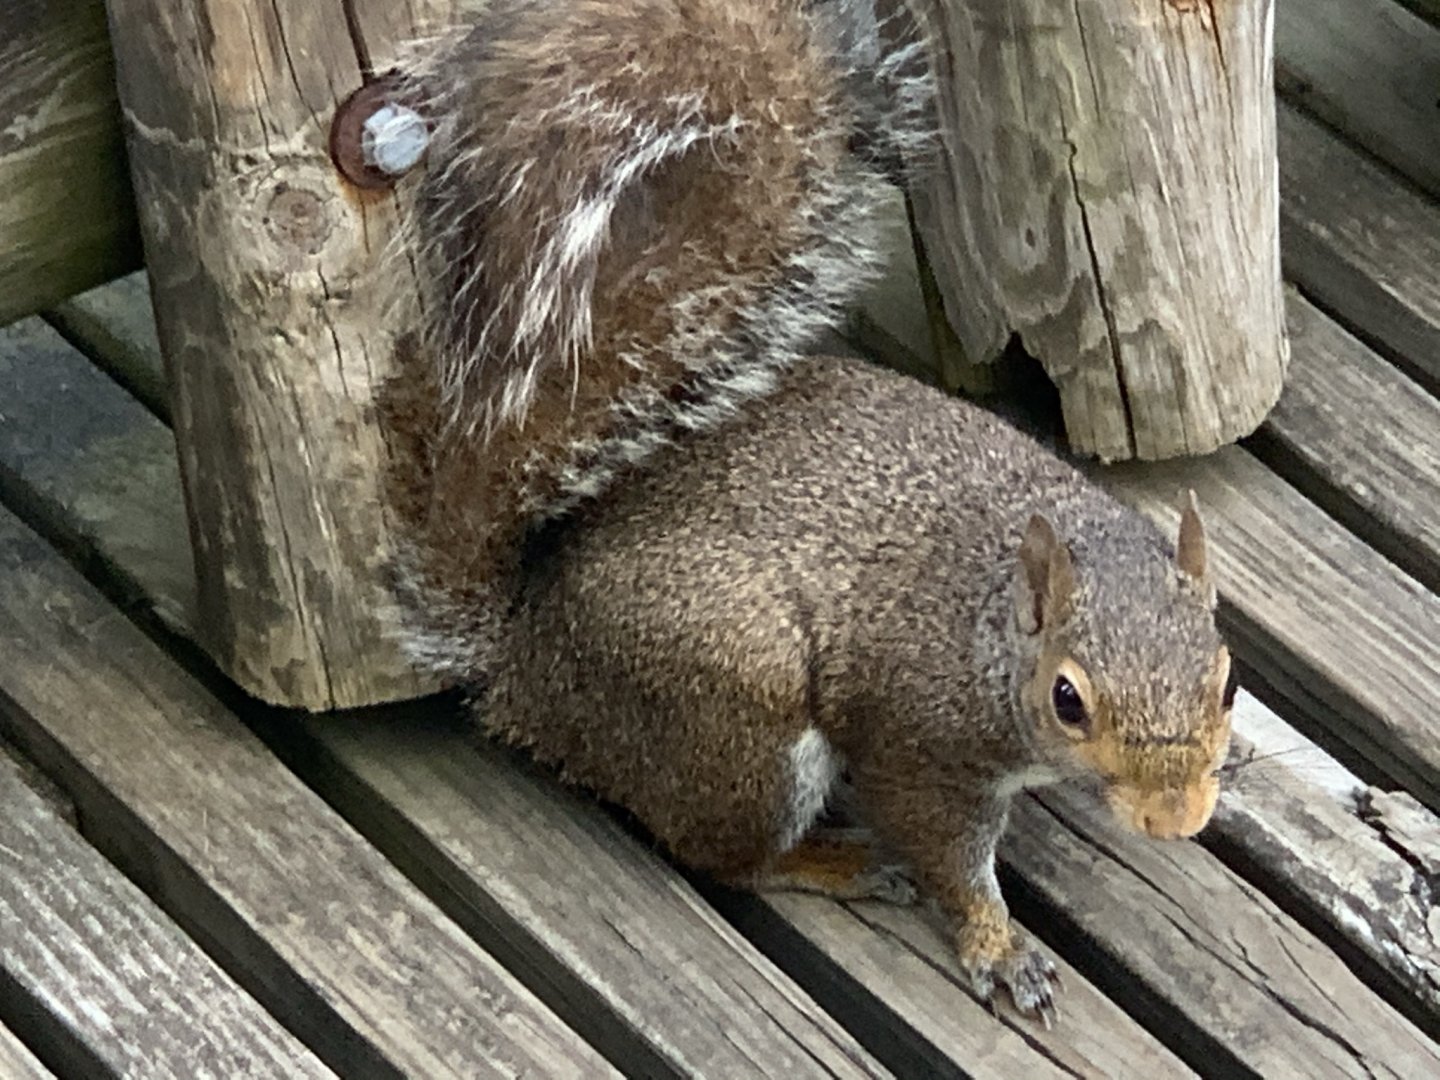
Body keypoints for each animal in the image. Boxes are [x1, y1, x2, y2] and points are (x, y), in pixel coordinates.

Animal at [376, 0, 1236, 1021]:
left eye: (1227, 680)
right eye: (1069, 699)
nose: (1175, 819)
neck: (993, 617)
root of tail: (523, 662)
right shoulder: (917, 741)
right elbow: (944, 849)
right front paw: (998, 945)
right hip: (741, 712)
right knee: (723, 856)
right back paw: (831, 864)